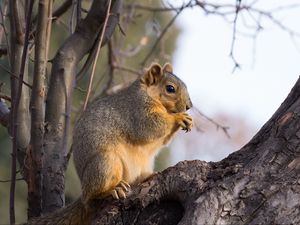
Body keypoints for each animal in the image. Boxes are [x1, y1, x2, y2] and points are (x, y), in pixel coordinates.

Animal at [28, 62, 192, 225]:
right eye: (170, 88)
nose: (189, 106)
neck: (148, 94)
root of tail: (83, 193)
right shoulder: (136, 110)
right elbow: (150, 126)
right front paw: (178, 118)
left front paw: (188, 120)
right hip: (106, 163)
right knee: (92, 197)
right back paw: (111, 190)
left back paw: (147, 177)